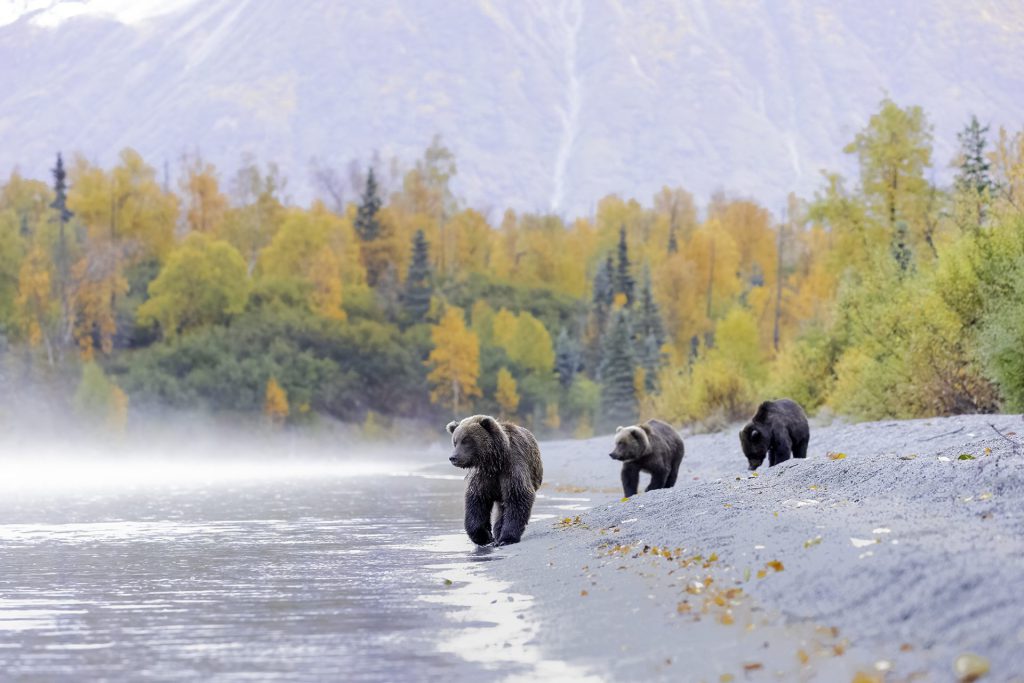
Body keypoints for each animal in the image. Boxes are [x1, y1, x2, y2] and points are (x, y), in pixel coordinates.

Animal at [446, 413, 544, 548]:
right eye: (455, 442)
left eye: (466, 440)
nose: (453, 457)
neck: (494, 462)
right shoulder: (482, 476)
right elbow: (477, 501)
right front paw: (484, 537)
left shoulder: (512, 466)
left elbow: (518, 496)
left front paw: (507, 538)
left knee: (503, 509)